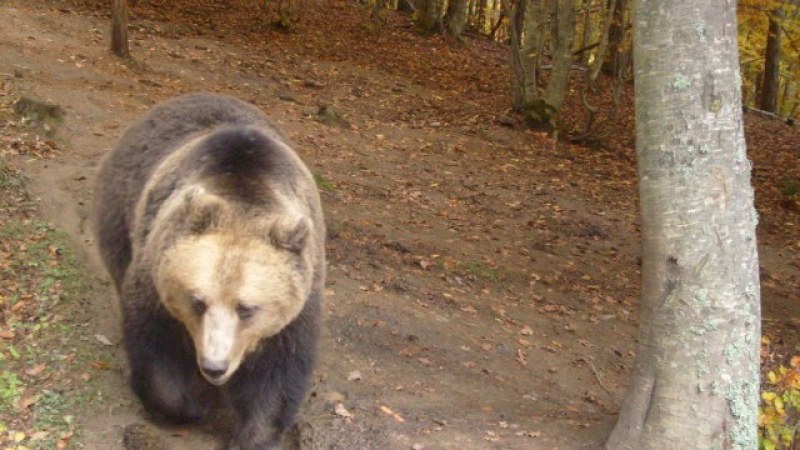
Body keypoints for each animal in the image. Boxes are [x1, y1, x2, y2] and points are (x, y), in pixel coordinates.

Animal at [94, 93, 328, 448]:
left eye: (247, 308)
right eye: (197, 301)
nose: (214, 366)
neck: (245, 193)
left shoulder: (297, 306)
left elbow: (278, 374)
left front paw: (254, 436)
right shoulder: (156, 277)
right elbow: (156, 347)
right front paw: (189, 406)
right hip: (121, 206)